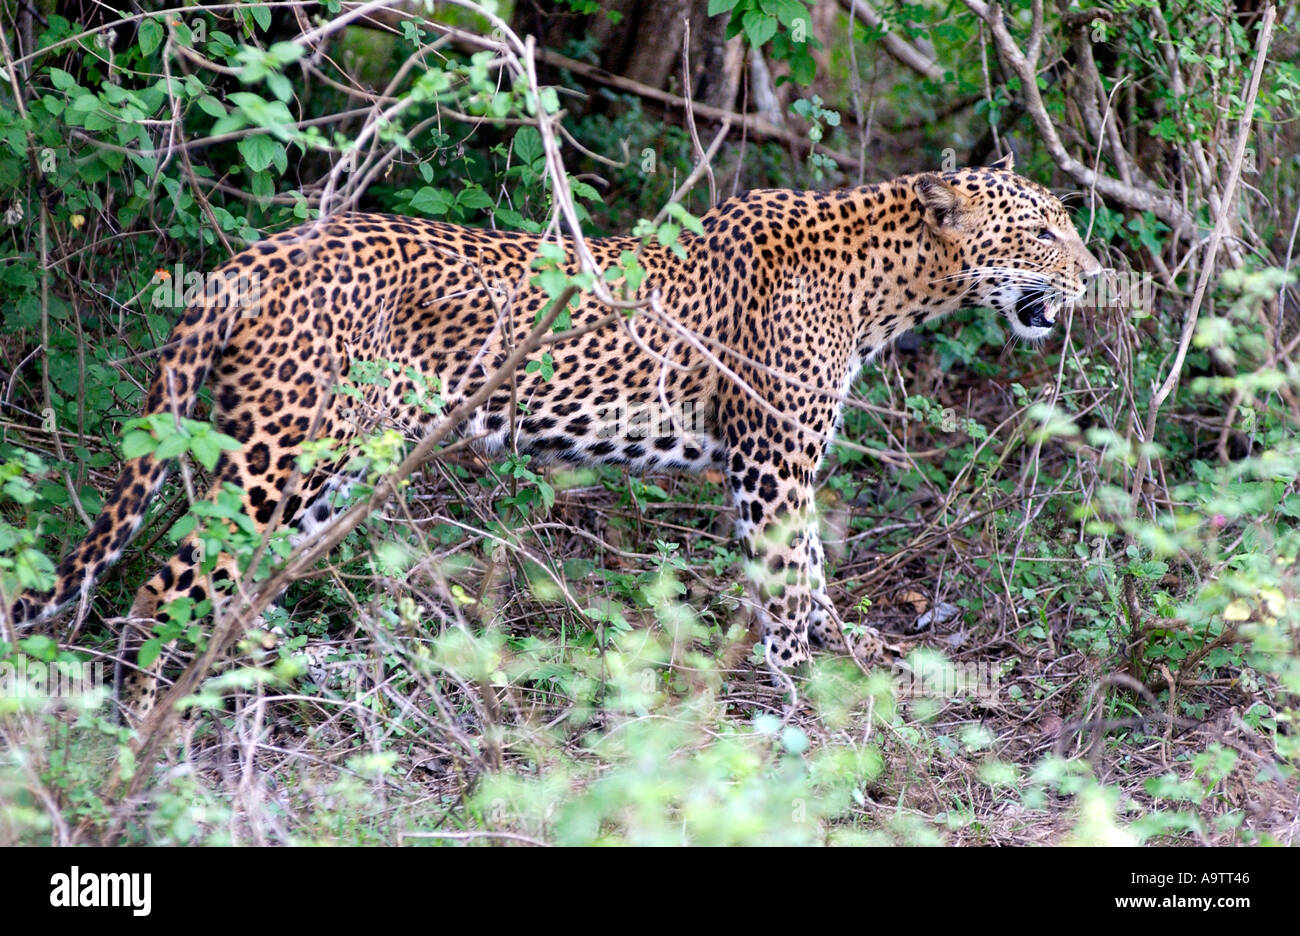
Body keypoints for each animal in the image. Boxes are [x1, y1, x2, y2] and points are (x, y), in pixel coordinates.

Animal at [11, 152, 1102, 722]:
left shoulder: (773, 470)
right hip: (281, 450)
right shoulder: (772, 464)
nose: (1095, 276)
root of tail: (259, 252)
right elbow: (791, 587)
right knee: (172, 578)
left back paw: (298, 677)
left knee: (242, 577)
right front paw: (814, 694)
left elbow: (814, 583)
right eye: (1043, 230)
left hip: (324, 456)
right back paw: (159, 722)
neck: (890, 284)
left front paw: (855, 656)